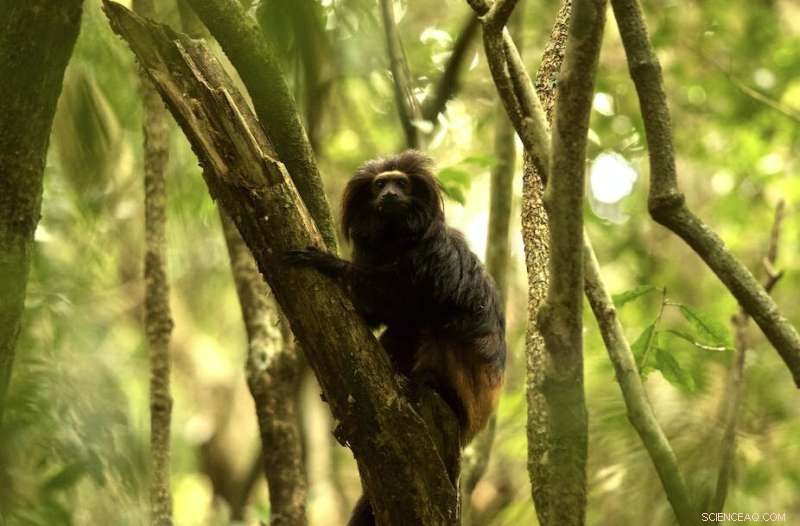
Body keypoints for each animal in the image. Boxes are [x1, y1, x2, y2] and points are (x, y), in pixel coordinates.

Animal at [286, 150, 506, 525]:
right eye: (379, 185)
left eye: (400, 183)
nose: (390, 194)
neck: (396, 240)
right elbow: (382, 316)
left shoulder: (433, 254)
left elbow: (399, 300)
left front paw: (329, 263)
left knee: (434, 327)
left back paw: (421, 385)